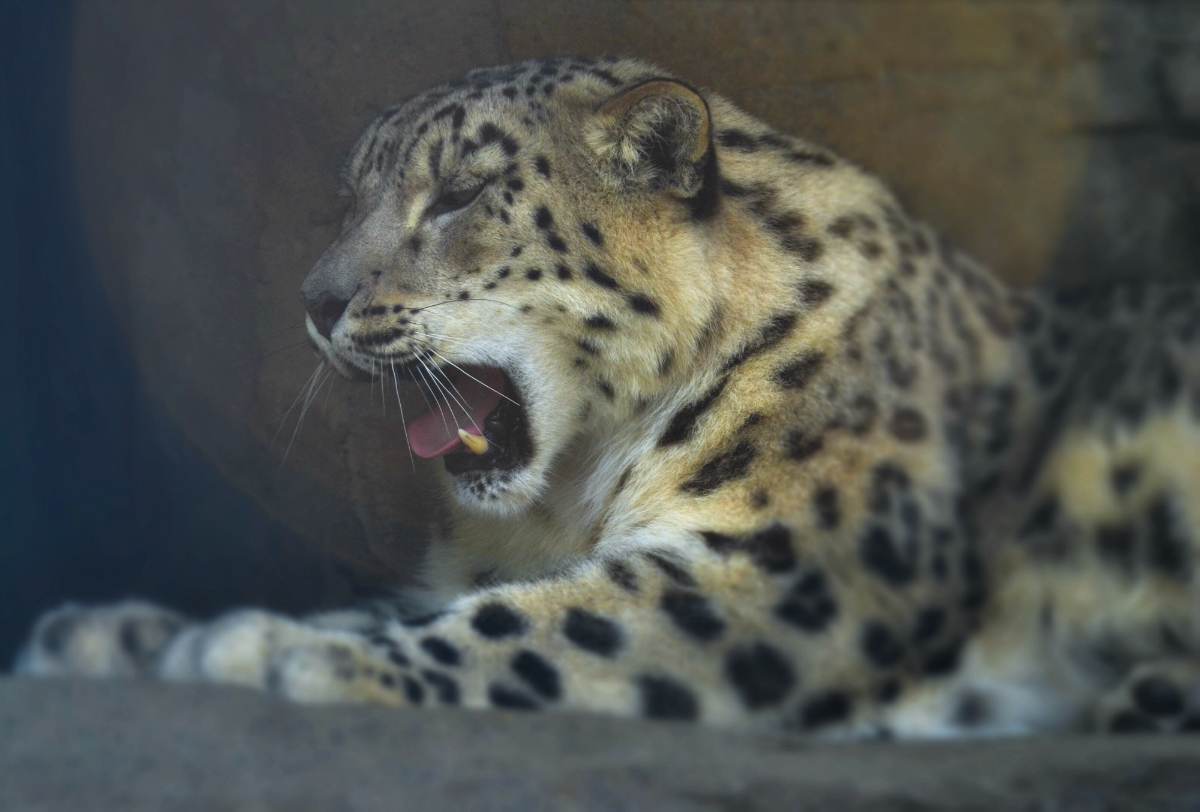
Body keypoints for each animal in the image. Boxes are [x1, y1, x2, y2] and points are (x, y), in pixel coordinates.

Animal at [16, 57, 1200, 738]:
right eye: (349, 199)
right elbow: (419, 599)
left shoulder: (791, 570)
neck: (572, 496)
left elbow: (534, 624)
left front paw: (271, 651)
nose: (316, 302)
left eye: (460, 194)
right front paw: (116, 634)